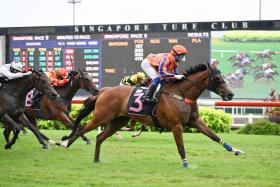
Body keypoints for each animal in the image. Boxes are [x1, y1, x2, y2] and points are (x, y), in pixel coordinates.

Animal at [62, 64, 244, 168]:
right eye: (217, 78)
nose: (231, 94)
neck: (181, 94)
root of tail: (103, 91)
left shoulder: (195, 121)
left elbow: (214, 136)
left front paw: (236, 150)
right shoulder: (176, 125)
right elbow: (181, 147)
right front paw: (186, 165)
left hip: (118, 121)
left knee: (100, 137)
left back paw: (97, 160)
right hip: (101, 117)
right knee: (81, 129)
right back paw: (65, 143)